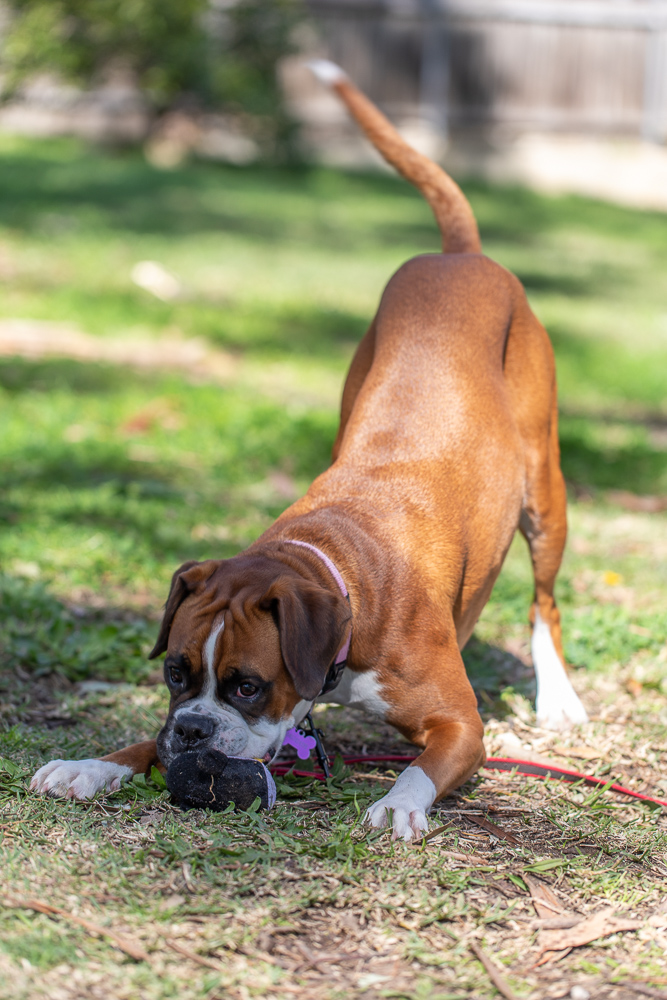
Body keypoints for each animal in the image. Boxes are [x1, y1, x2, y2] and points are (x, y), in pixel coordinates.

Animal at [31, 62, 588, 840]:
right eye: (175, 673)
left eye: (246, 685)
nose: (194, 732)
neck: (339, 573)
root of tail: (462, 256)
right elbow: (141, 741)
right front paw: (93, 765)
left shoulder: (460, 725)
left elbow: (423, 765)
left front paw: (397, 804)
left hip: (545, 493)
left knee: (545, 600)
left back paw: (557, 697)